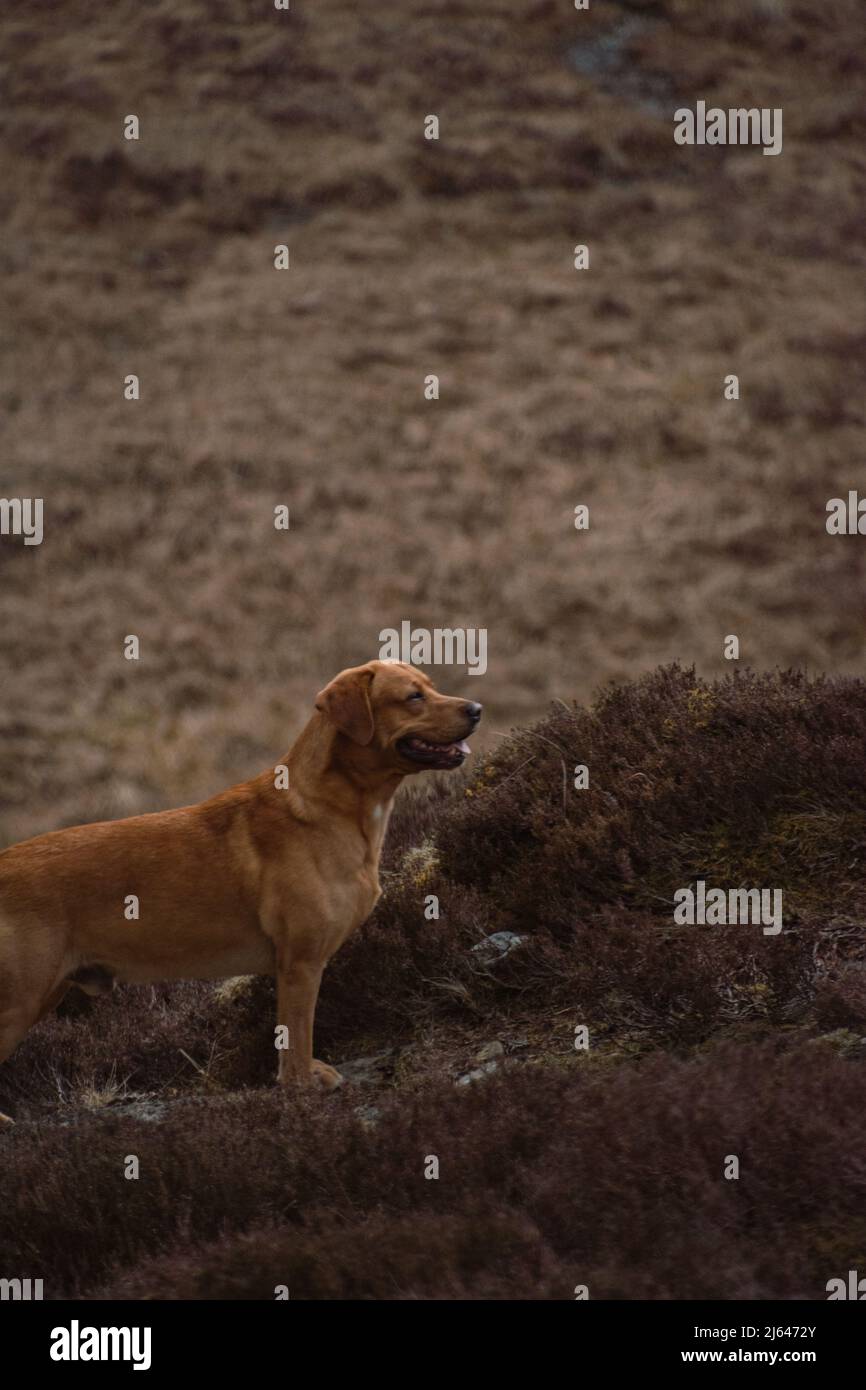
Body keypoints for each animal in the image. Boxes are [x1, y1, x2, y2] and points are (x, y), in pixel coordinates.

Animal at [0, 656, 480, 1123]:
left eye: (431, 685)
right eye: (413, 697)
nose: (476, 709)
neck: (331, 808)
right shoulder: (300, 963)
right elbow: (296, 1038)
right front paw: (300, 1089)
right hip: (20, 999)